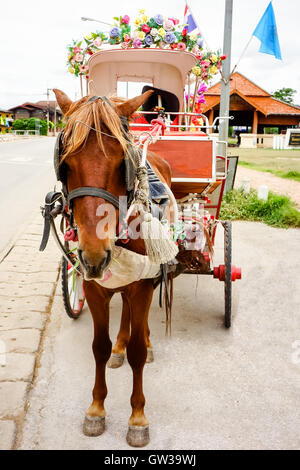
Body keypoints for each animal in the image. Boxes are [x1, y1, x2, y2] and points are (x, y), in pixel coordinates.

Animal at [52, 89, 172, 448]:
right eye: (66, 164)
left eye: (123, 162)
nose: (94, 255)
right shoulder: (93, 287)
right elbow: (99, 347)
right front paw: (96, 408)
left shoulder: (143, 284)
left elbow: (136, 351)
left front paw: (137, 416)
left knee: (138, 320)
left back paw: (143, 342)